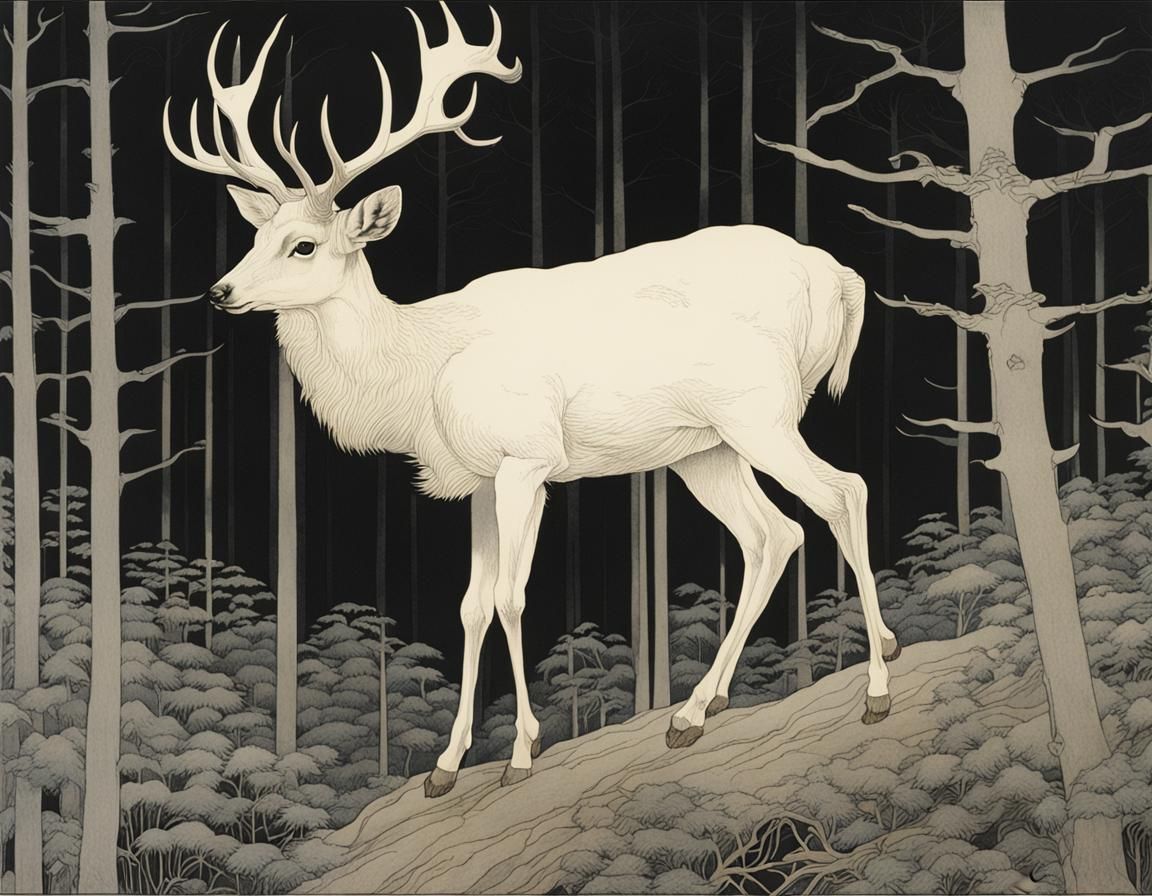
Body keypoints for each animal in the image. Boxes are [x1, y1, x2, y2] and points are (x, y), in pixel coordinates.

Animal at [165, 2, 900, 800]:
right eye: (256, 232)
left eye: (303, 245)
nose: (219, 290)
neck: (420, 372)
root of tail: (840, 278)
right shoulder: (481, 479)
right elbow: (469, 606)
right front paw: (446, 767)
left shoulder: (528, 458)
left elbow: (512, 600)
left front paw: (522, 751)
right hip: (705, 448)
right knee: (772, 535)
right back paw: (694, 712)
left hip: (760, 411)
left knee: (845, 492)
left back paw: (876, 688)